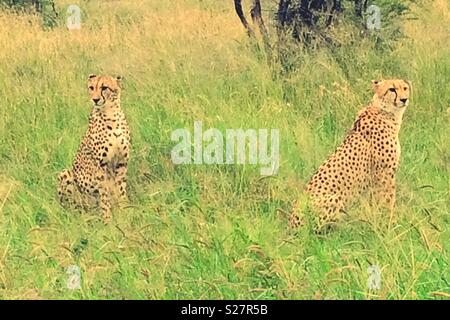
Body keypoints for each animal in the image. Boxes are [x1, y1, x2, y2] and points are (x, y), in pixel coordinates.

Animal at [58, 74, 130, 224]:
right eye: (91, 87)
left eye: (104, 88)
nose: (95, 99)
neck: (111, 114)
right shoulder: (100, 166)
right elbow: (104, 196)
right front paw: (108, 220)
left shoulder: (122, 162)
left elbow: (121, 190)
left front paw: (125, 210)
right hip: (66, 174)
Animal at [288, 78, 412, 231]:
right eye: (392, 89)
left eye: (405, 88)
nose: (404, 99)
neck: (384, 111)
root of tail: (291, 224)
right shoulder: (384, 173)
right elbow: (387, 201)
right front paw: (391, 224)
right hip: (335, 199)